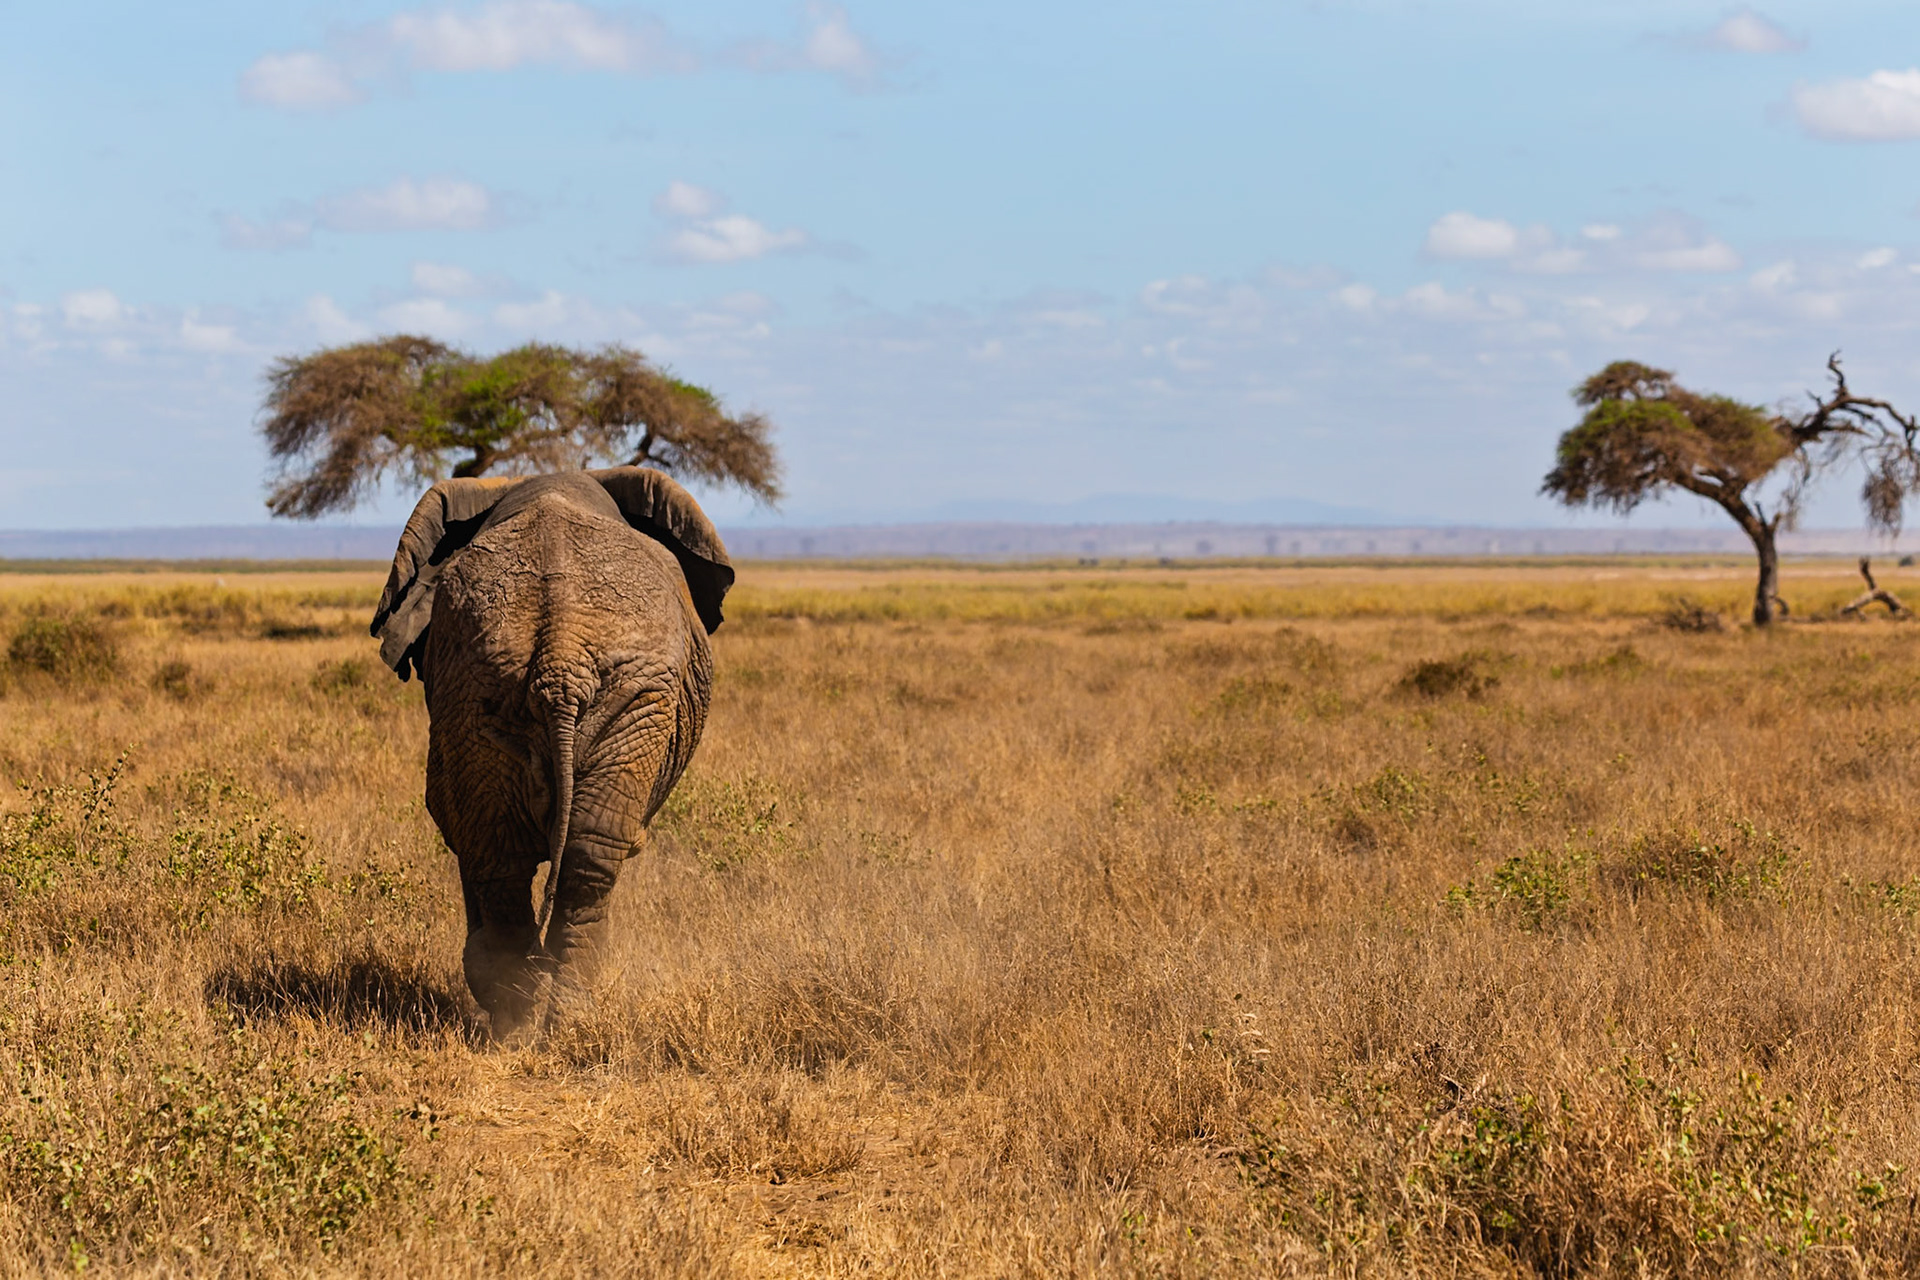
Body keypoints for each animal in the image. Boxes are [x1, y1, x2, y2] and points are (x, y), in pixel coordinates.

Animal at [371, 466, 733, 1039]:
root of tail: (559, 655)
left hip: (602, 696)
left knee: (530, 855)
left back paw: (529, 1019)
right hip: (533, 692)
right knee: (565, 855)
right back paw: (541, 1019)